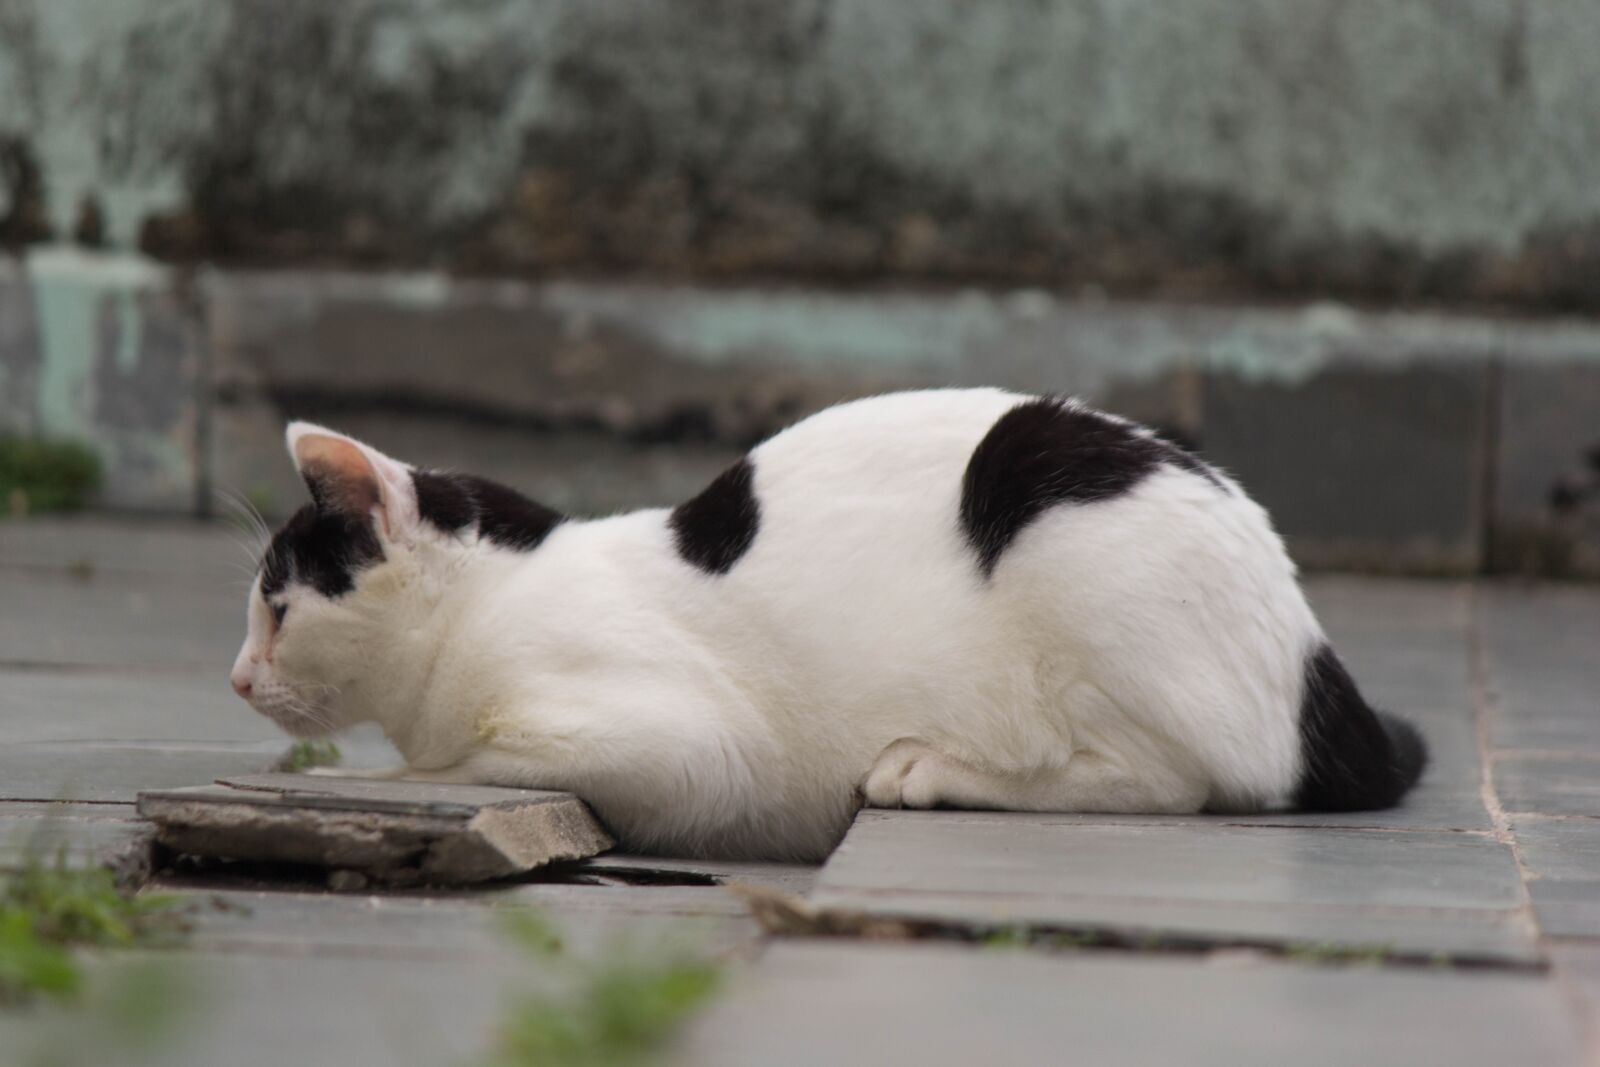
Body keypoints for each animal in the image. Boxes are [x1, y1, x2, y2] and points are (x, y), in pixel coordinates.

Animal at [225, 388, 1427, 863]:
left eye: (277, 604)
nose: (236, 679)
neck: (500, 593)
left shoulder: (688, 746)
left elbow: (455, 762)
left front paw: (351, 778)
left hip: (1057, 522)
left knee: (1173, 778)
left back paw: (927, 768)